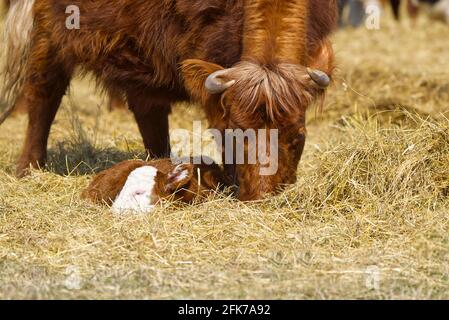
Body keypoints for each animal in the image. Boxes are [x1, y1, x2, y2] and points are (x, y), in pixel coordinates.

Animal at [0, 0, 336, 200]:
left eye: (298, 136)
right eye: (232, 133)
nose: (262, 197)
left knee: (149, 115)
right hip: (49, 35)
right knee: (43, 97)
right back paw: (29, 167)